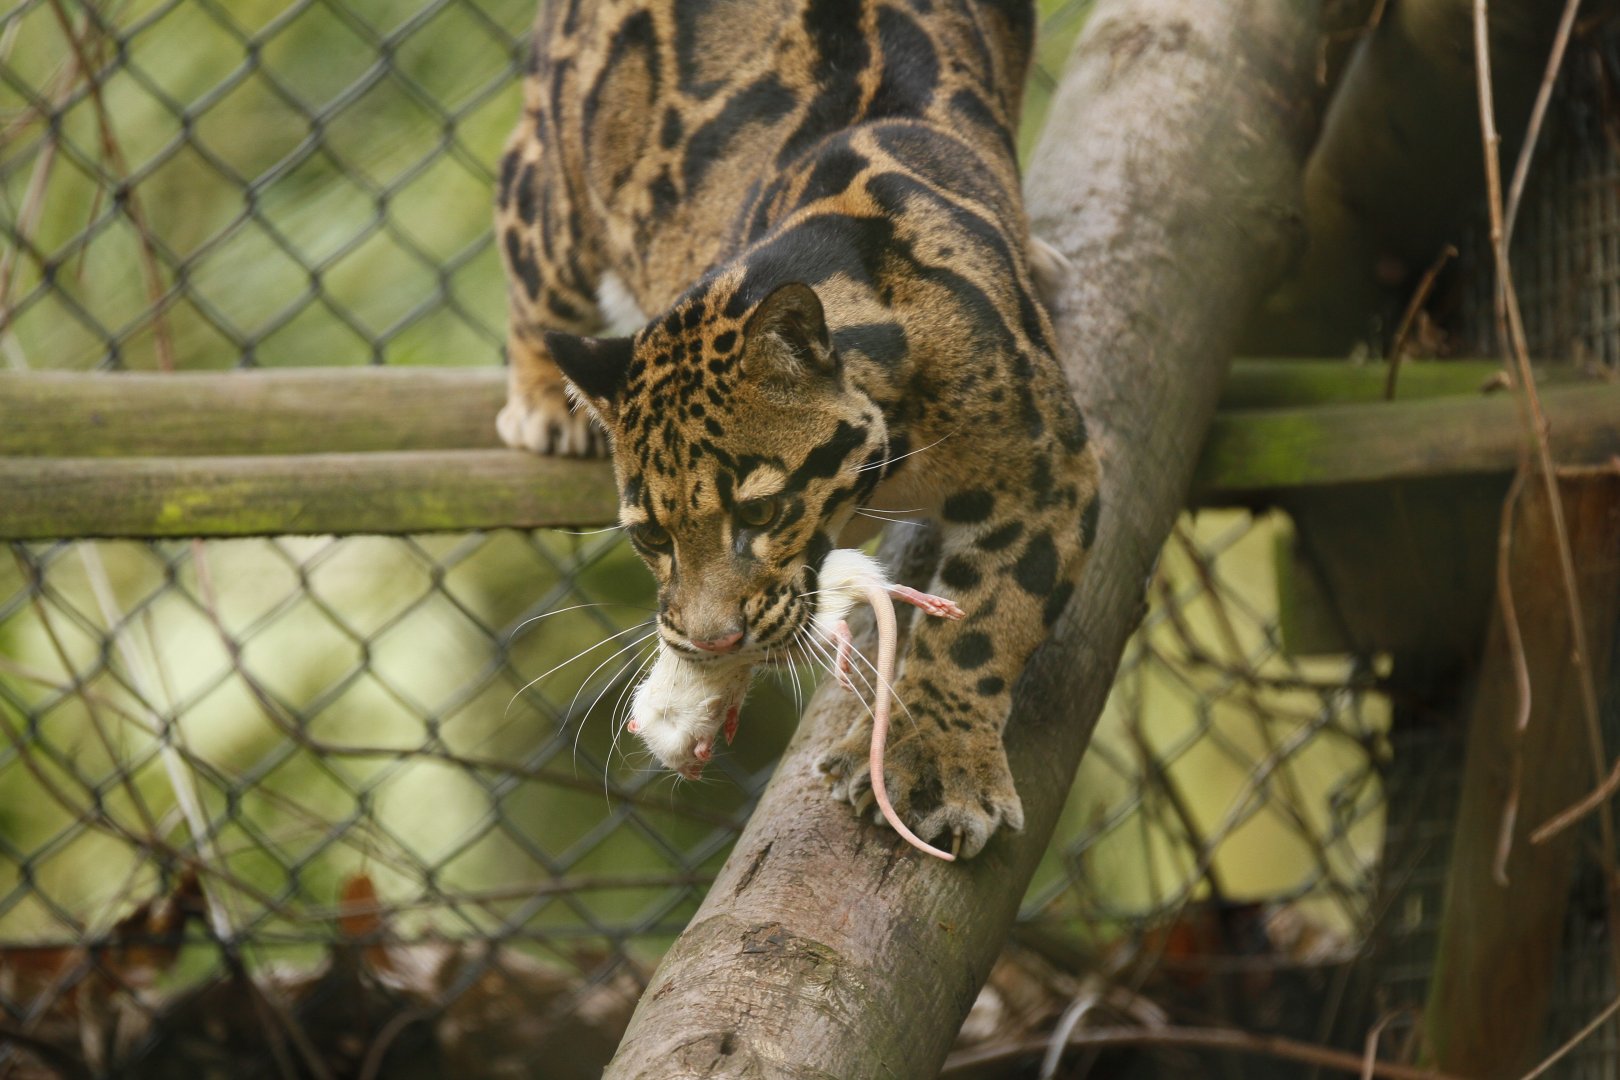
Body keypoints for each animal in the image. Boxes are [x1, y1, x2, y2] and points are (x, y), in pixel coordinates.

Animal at [494, 0, 1100, 859]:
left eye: (761, 511)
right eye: (650, 537)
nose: (710, 642)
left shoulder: (1048, 468)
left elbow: (989, 619)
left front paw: (932, 763)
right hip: (560, 191)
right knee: (528, 236)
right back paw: (544, 397)